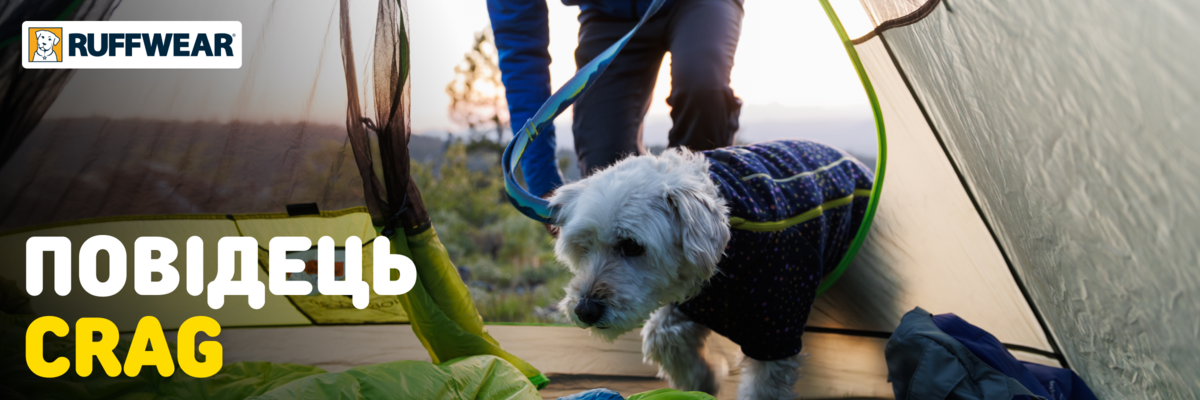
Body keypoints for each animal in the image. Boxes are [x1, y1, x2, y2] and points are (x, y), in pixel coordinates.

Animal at [549, 138, 873, 396]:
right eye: (583, 246)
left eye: (631, 245)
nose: (585, 310)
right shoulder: (693, 306)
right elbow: (663, 338)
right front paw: (704, 383)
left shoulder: (775, 334)